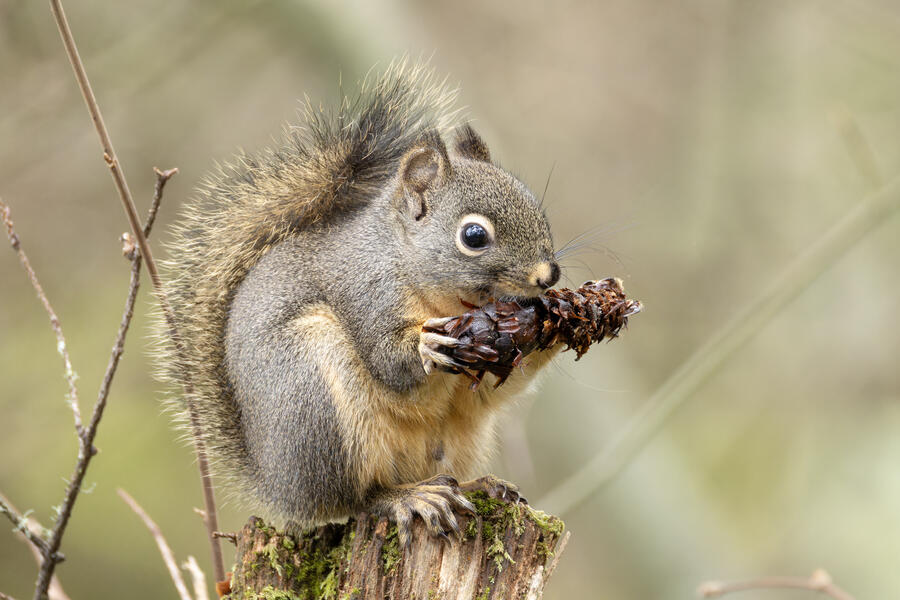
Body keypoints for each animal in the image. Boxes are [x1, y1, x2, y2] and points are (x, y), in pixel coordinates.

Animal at [159, 62, 563, 547]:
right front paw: (427, 347)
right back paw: (407, 498)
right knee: (355, 499)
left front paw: (561, 325)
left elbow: (493, 386)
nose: (548, 276)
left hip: (458, 437)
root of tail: (277, 485)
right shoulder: (367, 292)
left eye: (537, 209)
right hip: (314, 396)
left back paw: (475, 485)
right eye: (474, 236)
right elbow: (389, 363)